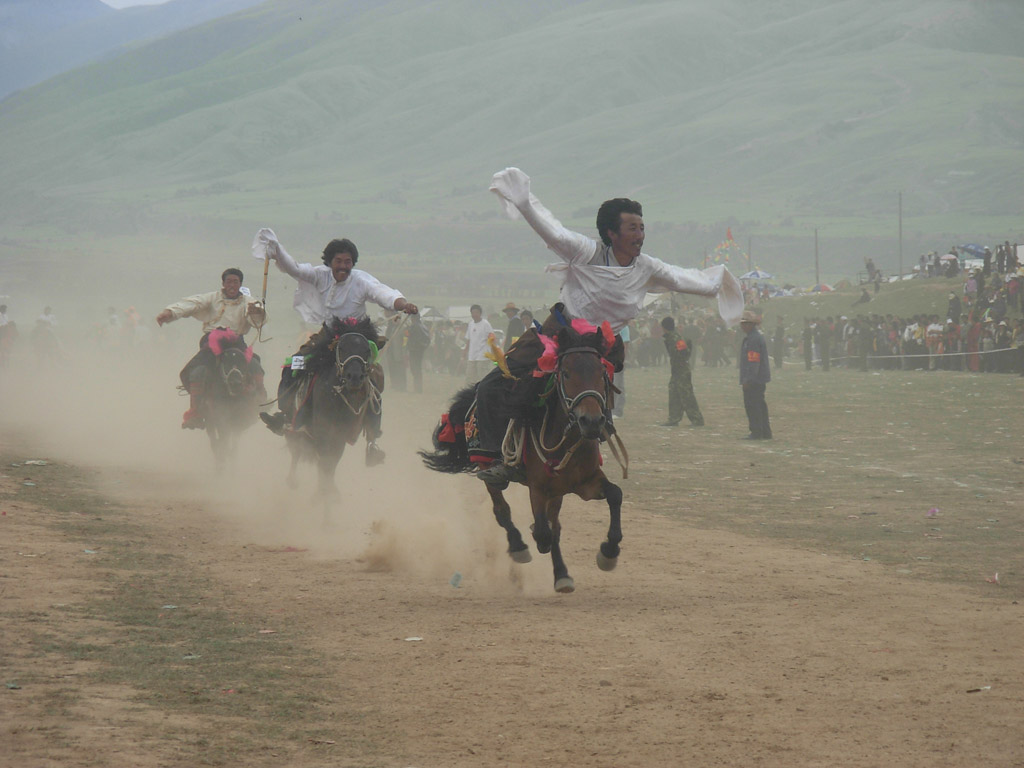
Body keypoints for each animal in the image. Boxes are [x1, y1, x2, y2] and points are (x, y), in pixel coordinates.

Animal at [284, 317, 385, 499]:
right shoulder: (322, 431)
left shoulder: (340, 435)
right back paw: (292, 480)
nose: (354, 377)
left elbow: (331, 462)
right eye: (342, 348)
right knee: (296, 449)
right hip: (293, 425)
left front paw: (328, 491)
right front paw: (323, 494)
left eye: (367, 350)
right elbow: (324, 460)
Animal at [417, 321, 622, 593]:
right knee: (502, 510)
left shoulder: (586, 483)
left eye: (602, 373)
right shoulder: (537, 488)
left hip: (559, 491)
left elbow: (615, 495)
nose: (591, 421)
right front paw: (534, 537)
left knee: (554, 524)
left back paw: (561, 574)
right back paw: (518, 546)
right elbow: (543, 531)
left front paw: (608, 552)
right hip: (488, 469)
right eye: (566, 373)